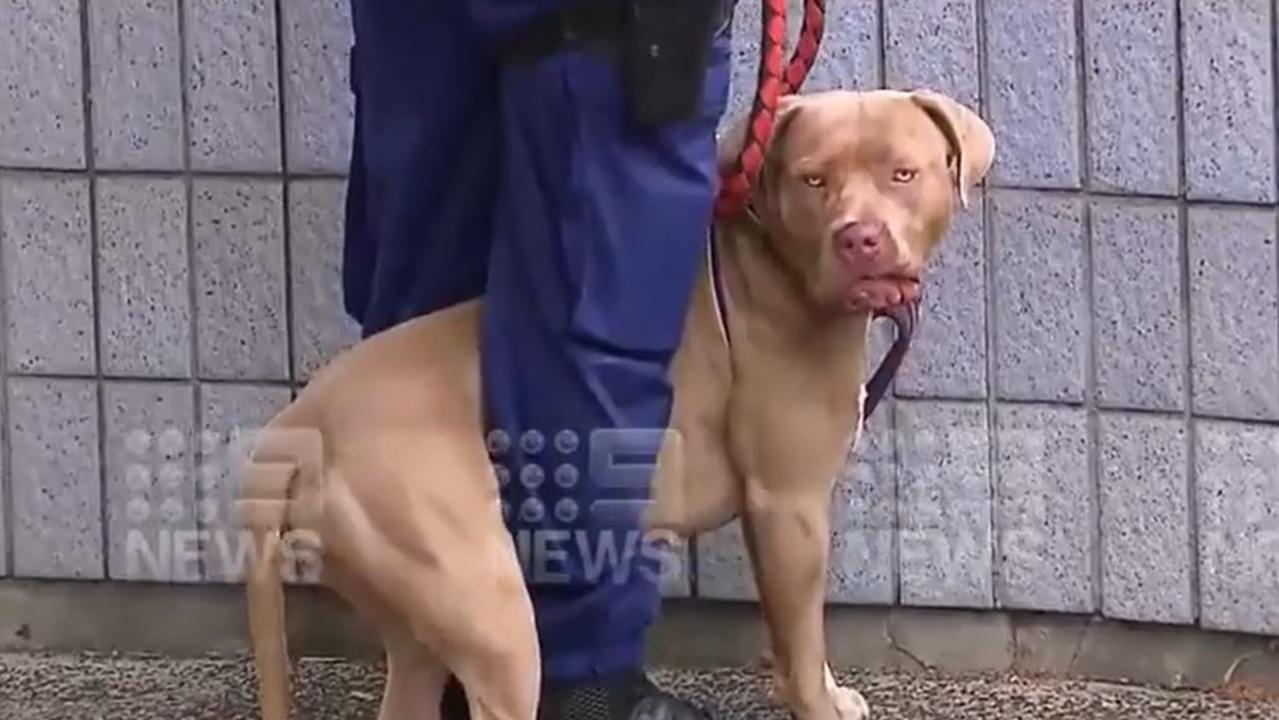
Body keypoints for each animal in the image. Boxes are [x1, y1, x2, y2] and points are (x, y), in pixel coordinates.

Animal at [240, 88, 997, 720]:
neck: (775, 263)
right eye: (813, 180)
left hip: (421, 616)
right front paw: (819, 703)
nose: (858, 237)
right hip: (490, 612)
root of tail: (297, 423)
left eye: (902, 174)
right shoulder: (788, 505)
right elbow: (801, 643)